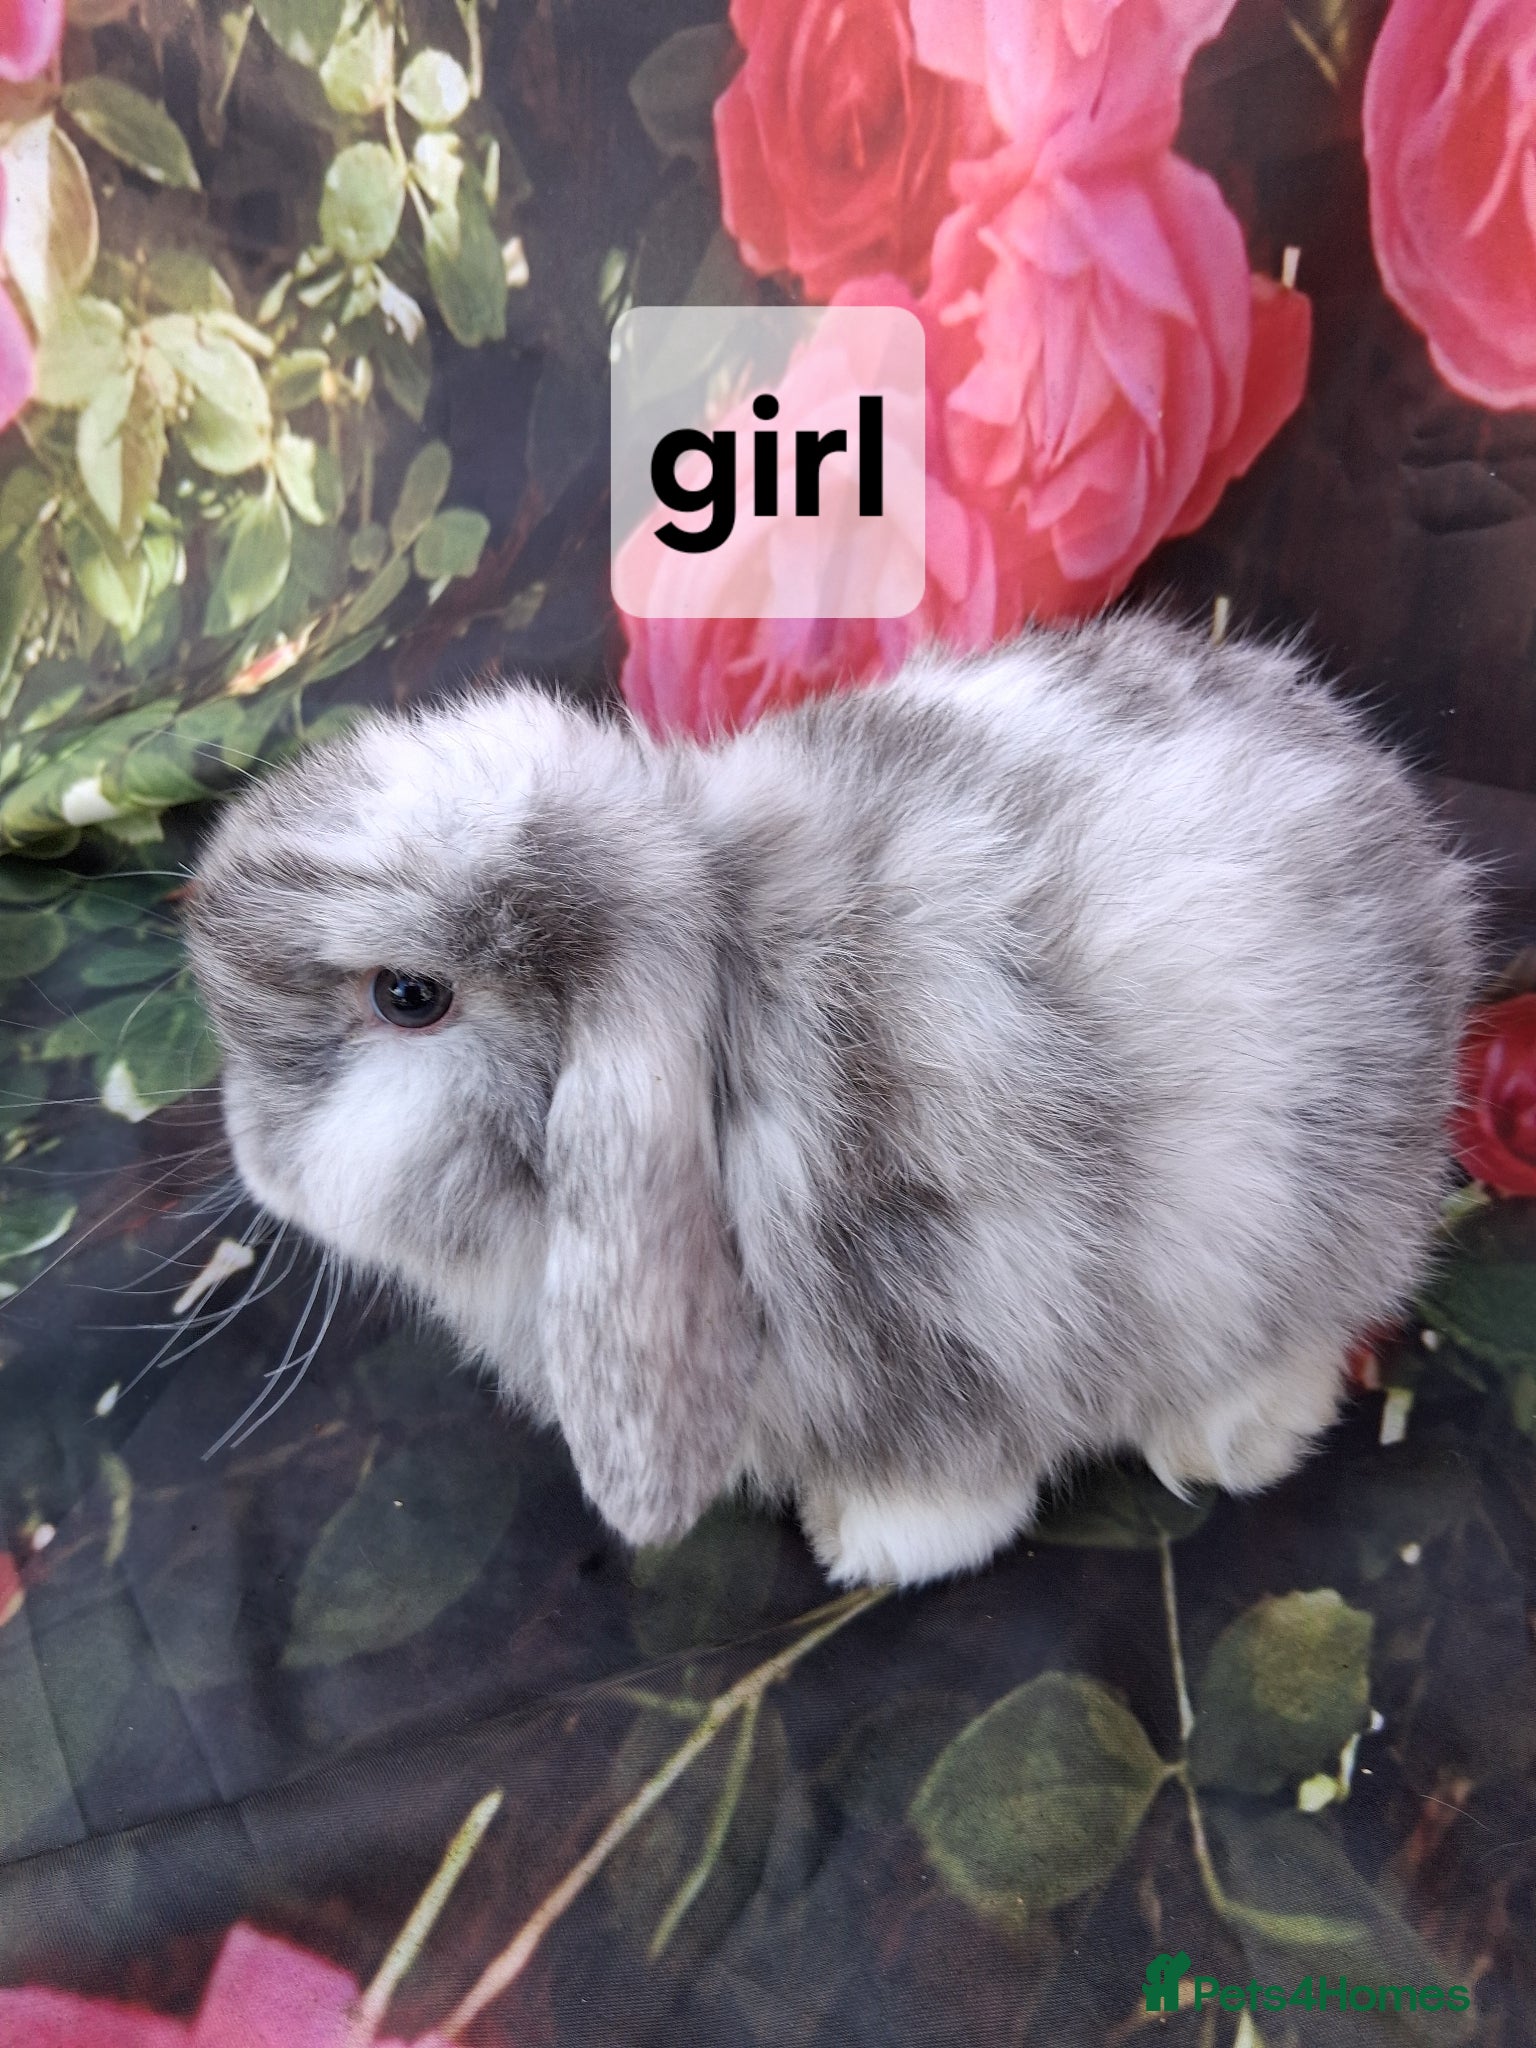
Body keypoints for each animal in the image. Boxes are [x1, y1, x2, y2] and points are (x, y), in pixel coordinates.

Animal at [186, 612, 1479, 1588]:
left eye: (408, 995)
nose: (252, 1155)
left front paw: (863, 1540)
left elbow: (950, 1478)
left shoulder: (944, 1328)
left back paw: (1223, 1440)